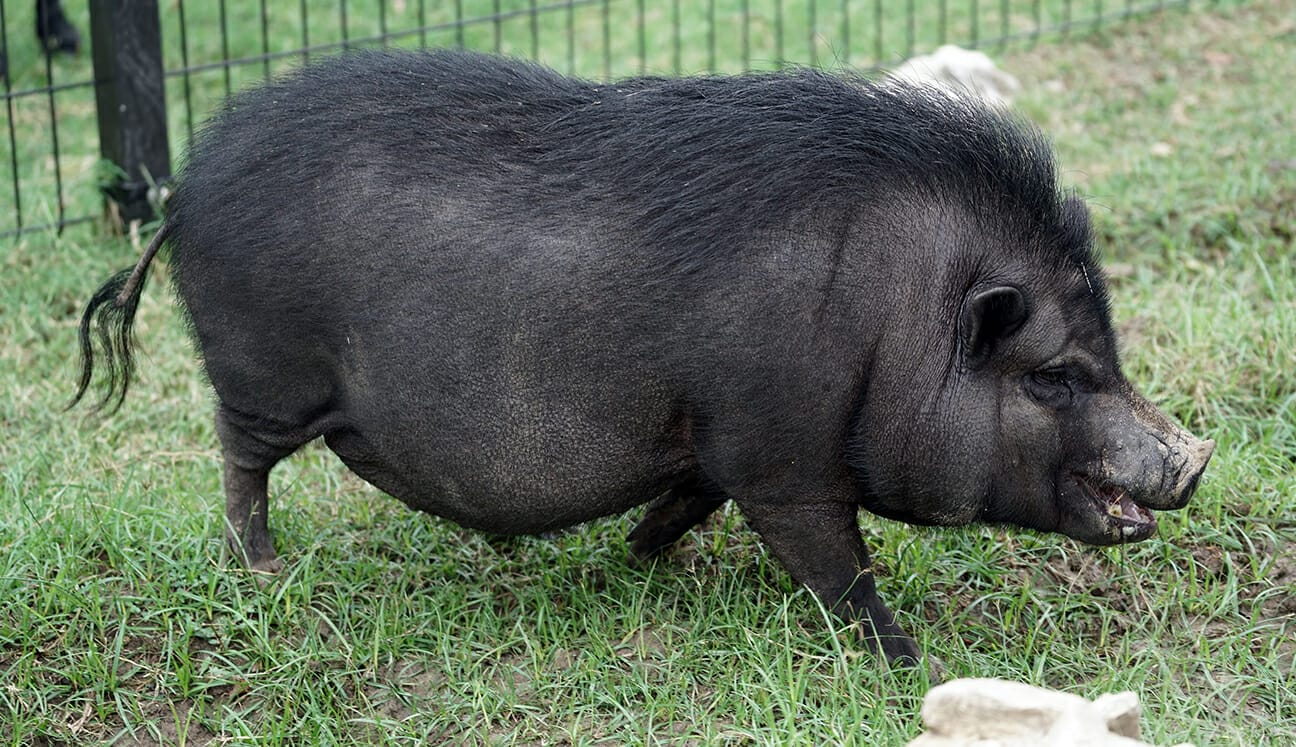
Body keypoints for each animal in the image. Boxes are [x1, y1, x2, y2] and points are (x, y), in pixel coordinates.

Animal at [75, 49, 1213, 669]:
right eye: (1054, 374)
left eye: (1107, 351)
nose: (1194, 455)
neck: (895, 318)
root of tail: (184, 191)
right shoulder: (779, 457)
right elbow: (837, 567)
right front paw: (903, 658)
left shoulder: (709, 444)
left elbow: (689, 500)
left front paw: (633, 552)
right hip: (262, 372)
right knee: (240, 460)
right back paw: (263, 569)